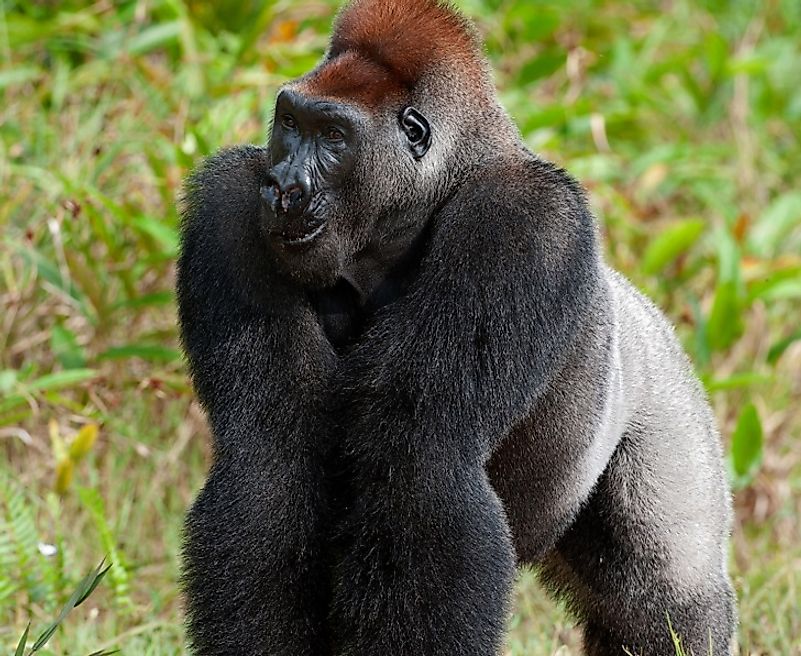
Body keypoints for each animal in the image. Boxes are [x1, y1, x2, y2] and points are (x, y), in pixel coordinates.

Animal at [177, 1, 736, 656]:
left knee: (667, 597)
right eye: (289, 123)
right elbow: (272, 447)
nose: (283, 187)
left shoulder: (521, 218)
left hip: (668, 405)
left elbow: (421, 459)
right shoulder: (231, 200)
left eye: (333, 137)